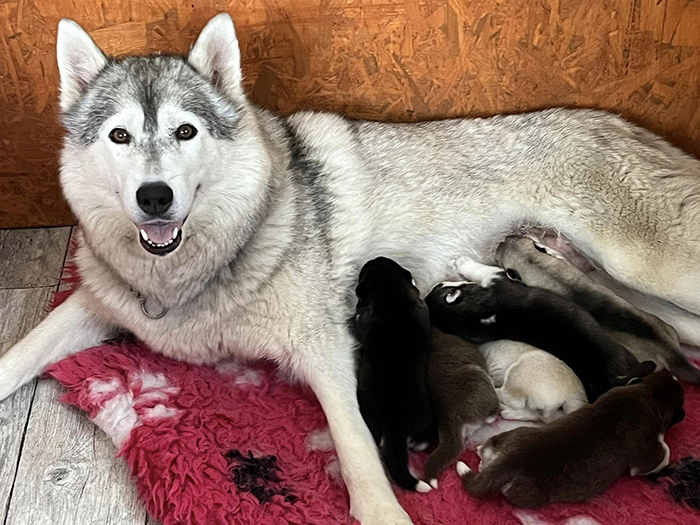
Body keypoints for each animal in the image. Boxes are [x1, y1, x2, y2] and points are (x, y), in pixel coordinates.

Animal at [351, 257, 432, 493]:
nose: (375, 258)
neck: (392, 294)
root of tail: (395, 425)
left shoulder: (363, 320)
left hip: (371, 416)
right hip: (425, 421)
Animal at [425, 259, 656, 400]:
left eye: (436, 288)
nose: (434, 285)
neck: (478, 316)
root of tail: (612, 380)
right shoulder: (497, 278)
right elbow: (481, 269)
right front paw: (462, 261)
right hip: (625, 354)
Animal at [458, 370, 685, 508]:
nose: (672, 374)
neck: (652, 395)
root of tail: (507, 464)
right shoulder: (646, 448)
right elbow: (662, 453)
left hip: (513, 435)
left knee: (486, 449)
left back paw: (482, 461)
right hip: (531, 496)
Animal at [495, 235, 700, 383]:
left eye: (500, 258)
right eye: (516, 238)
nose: (501, 240)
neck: (543, 267)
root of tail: (672, 354)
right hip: (667, 328)